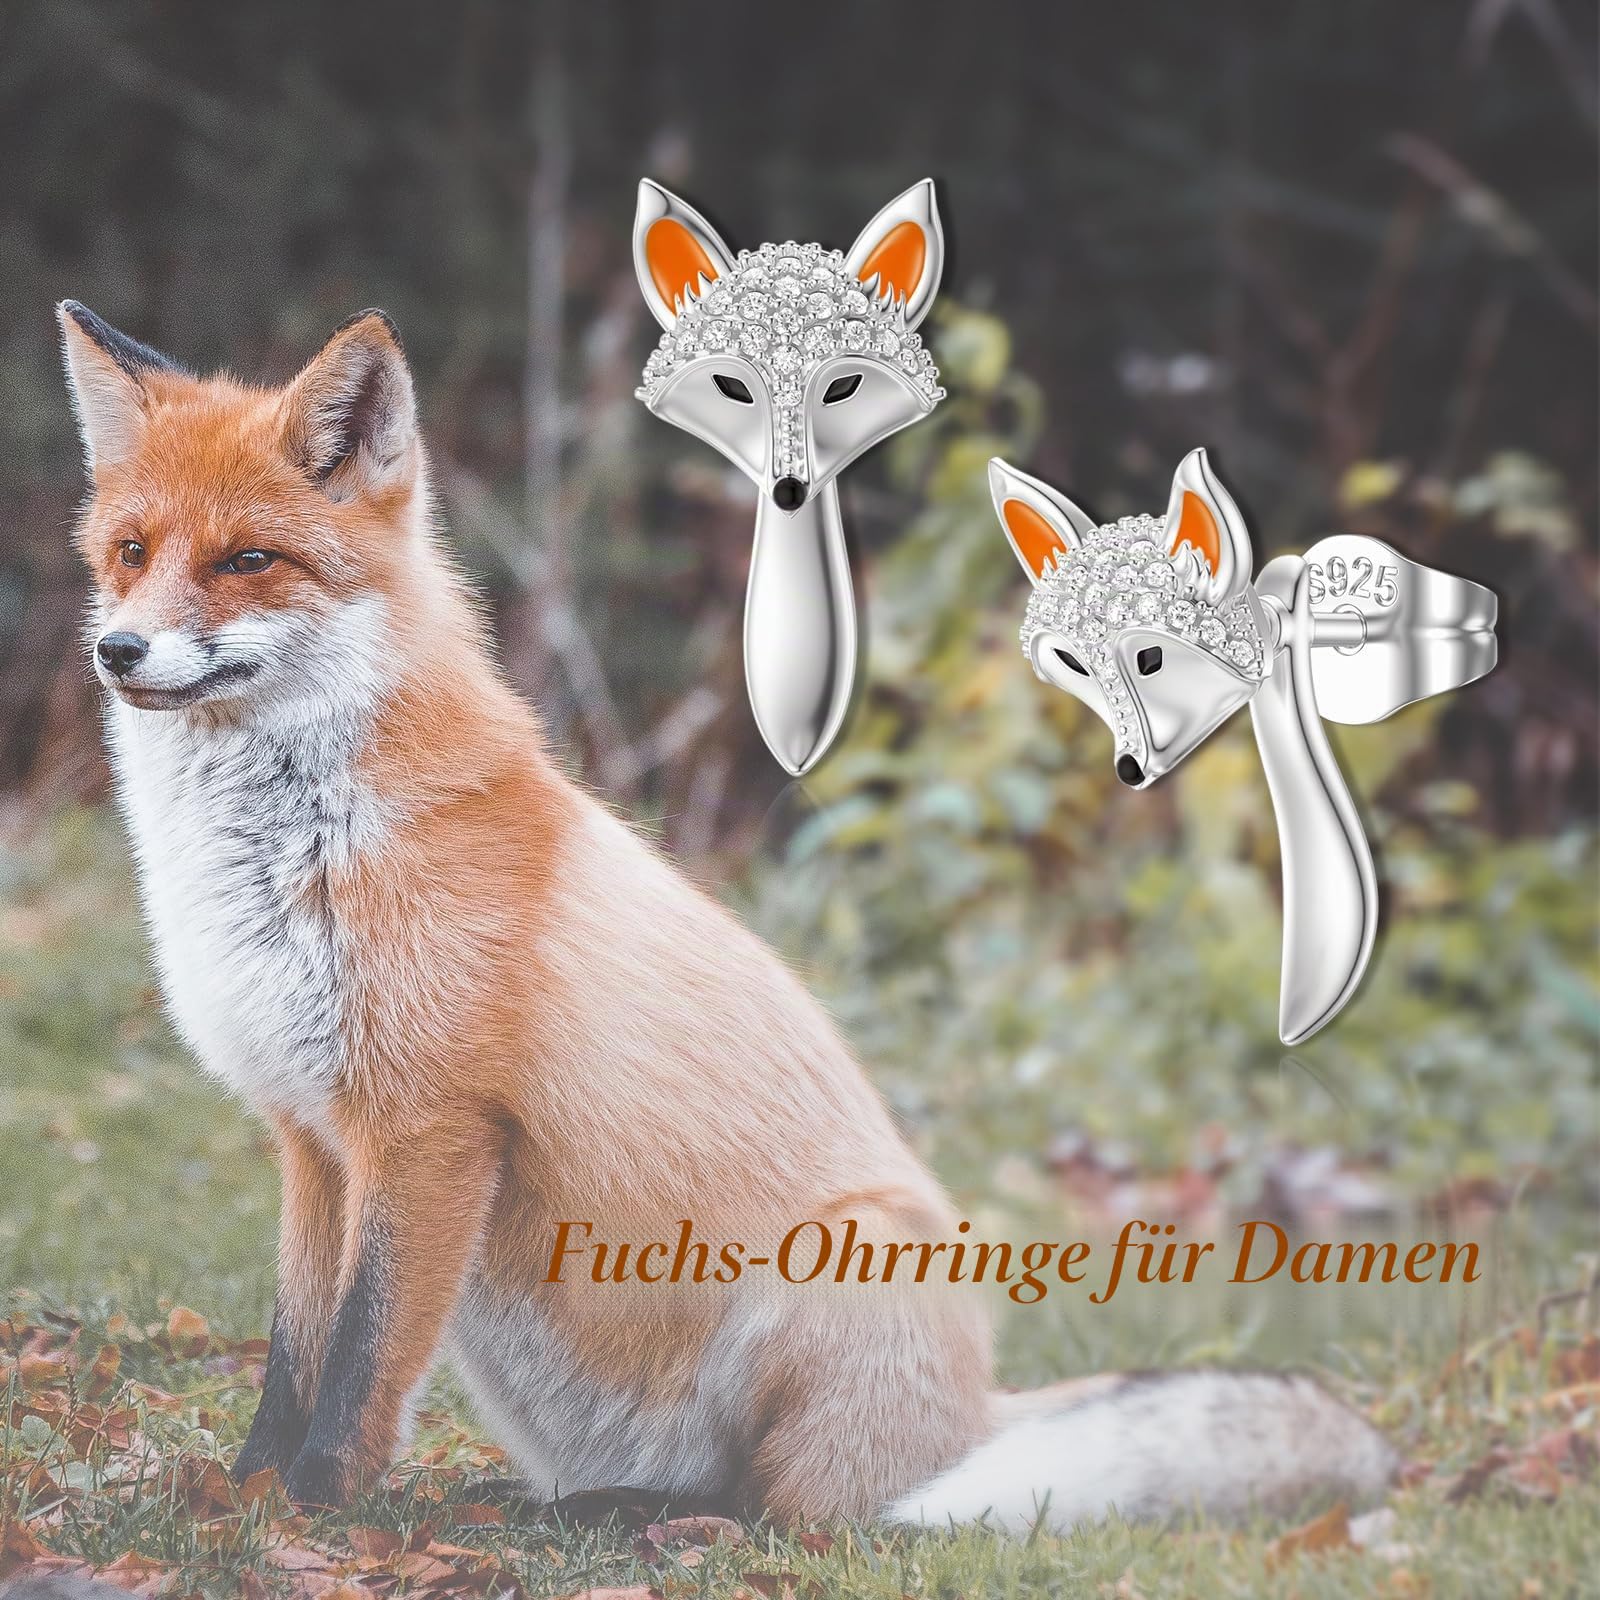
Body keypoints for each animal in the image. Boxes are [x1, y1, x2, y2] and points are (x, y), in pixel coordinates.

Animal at [55, 298, 1395, 1531]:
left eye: (246, 562)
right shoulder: (310, 1134)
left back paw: (650, 1522)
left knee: (798, 1513)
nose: (119, 651)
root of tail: (969, 1427)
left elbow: (359, 1367)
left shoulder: (428, 1129)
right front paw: (241, 1501)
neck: (279, 862)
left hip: (831, 1282)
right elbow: (293, 1355)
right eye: (130, 550)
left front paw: (313, 1515)